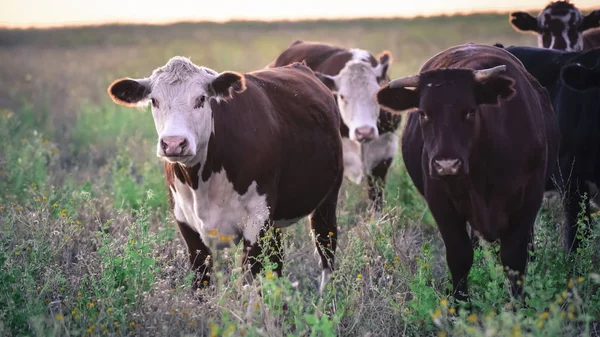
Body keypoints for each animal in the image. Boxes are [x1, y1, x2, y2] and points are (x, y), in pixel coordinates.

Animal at [105, 57, 344, 294]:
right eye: (154, 101)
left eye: (201, 99)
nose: (173, 143)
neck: (201, 182)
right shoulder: (187, 225)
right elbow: (200, 282)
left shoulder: (257, 221)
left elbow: (251, 282)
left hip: (327, 200)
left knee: (326, 248)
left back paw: (326, 297)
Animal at [378, 43, 560, 300]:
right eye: (423, 113)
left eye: (470, 111)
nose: (446, 164)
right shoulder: (440, 202)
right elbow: (459, 256)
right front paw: (460, 302)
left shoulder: (529, 199)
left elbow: (515, 258)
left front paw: (519, 304)